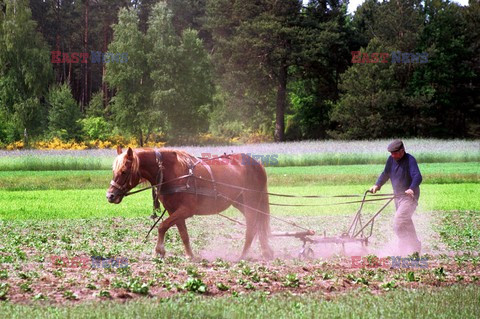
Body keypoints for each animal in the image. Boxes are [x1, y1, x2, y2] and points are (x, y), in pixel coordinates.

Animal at [107, 147, 276, 260]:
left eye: (124, 171)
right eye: (113, 171)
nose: (110, 196)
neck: (173, 174)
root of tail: (257, 164)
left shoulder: (186, 210)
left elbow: (162, 226)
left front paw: (159, 250)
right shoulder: (174, 211)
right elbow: (183, 234)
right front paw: (190, 256)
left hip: (251, 200)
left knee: (252, 226)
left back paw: (243, 256)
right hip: (240, 202)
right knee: (257, 224)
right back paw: (265, 252)